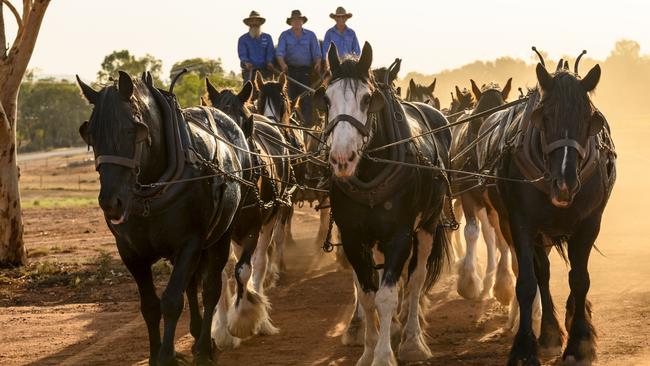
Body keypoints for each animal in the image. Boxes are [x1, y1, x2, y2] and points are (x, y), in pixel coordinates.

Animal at [76, 72, 248, 366]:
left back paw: (205, 347)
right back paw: (197, 333)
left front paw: (168, 355)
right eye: (91, 134)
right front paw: (155, 354)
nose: (110, 203)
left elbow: (171, 301)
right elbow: (150, 306)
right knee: (192, 284)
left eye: (133, 130)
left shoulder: (190, 243)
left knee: (210, 288)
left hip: (220, 236)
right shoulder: (130, 252)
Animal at [314, 41, 450, 364]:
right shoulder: (353, 237)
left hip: (428, 225)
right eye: (326, 99)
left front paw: (385, 353)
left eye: (367, 99)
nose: (342, 158)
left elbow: (387, 295)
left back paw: (412, 337)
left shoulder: (400, 235)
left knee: (415, 279)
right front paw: (368, 349)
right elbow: (367, 294)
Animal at [476, 52, 616, 366]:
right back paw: (550, 333)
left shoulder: (589, 223)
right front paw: (525, 348)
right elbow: (528, 282)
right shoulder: (521, 223)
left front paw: (580, 343)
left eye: (590, 119)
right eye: (545, 117)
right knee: (542, 273)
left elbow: (580, 279)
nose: (565, 182)